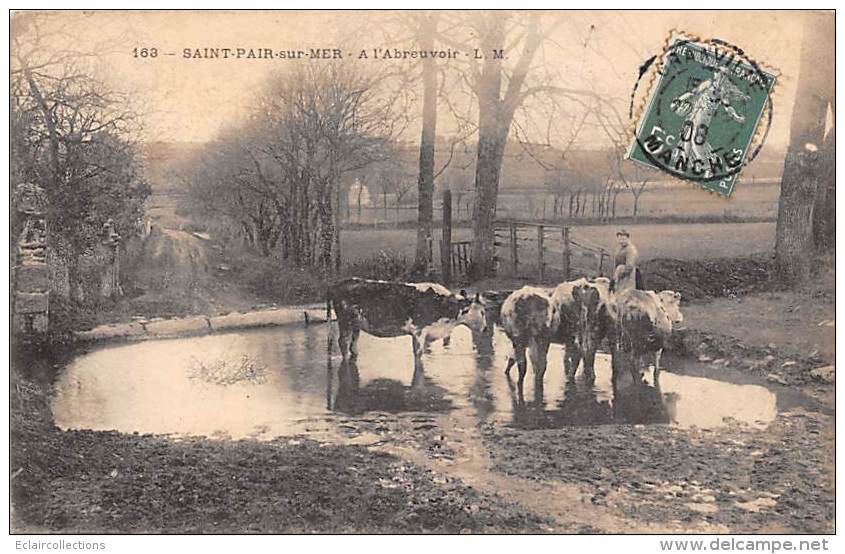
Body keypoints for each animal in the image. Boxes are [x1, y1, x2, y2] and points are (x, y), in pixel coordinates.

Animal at [324, 276, 484, 362]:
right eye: (482, 312)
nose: (485, 328)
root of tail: (336, 285)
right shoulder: (419, 331)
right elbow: (418, 354)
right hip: (345, 322)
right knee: (343, 342)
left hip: (356, 324)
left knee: (353, 345)